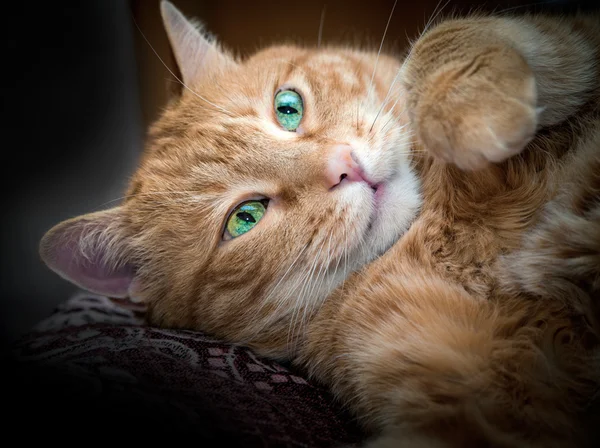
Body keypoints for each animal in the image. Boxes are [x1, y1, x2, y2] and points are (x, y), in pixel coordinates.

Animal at [38, 1, 600, 446]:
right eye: (244, 219)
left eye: (287, 108)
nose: (343, 167)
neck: (438, 226)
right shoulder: (470, 408)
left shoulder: (573, 31)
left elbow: (443, 40)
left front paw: (474, 113)